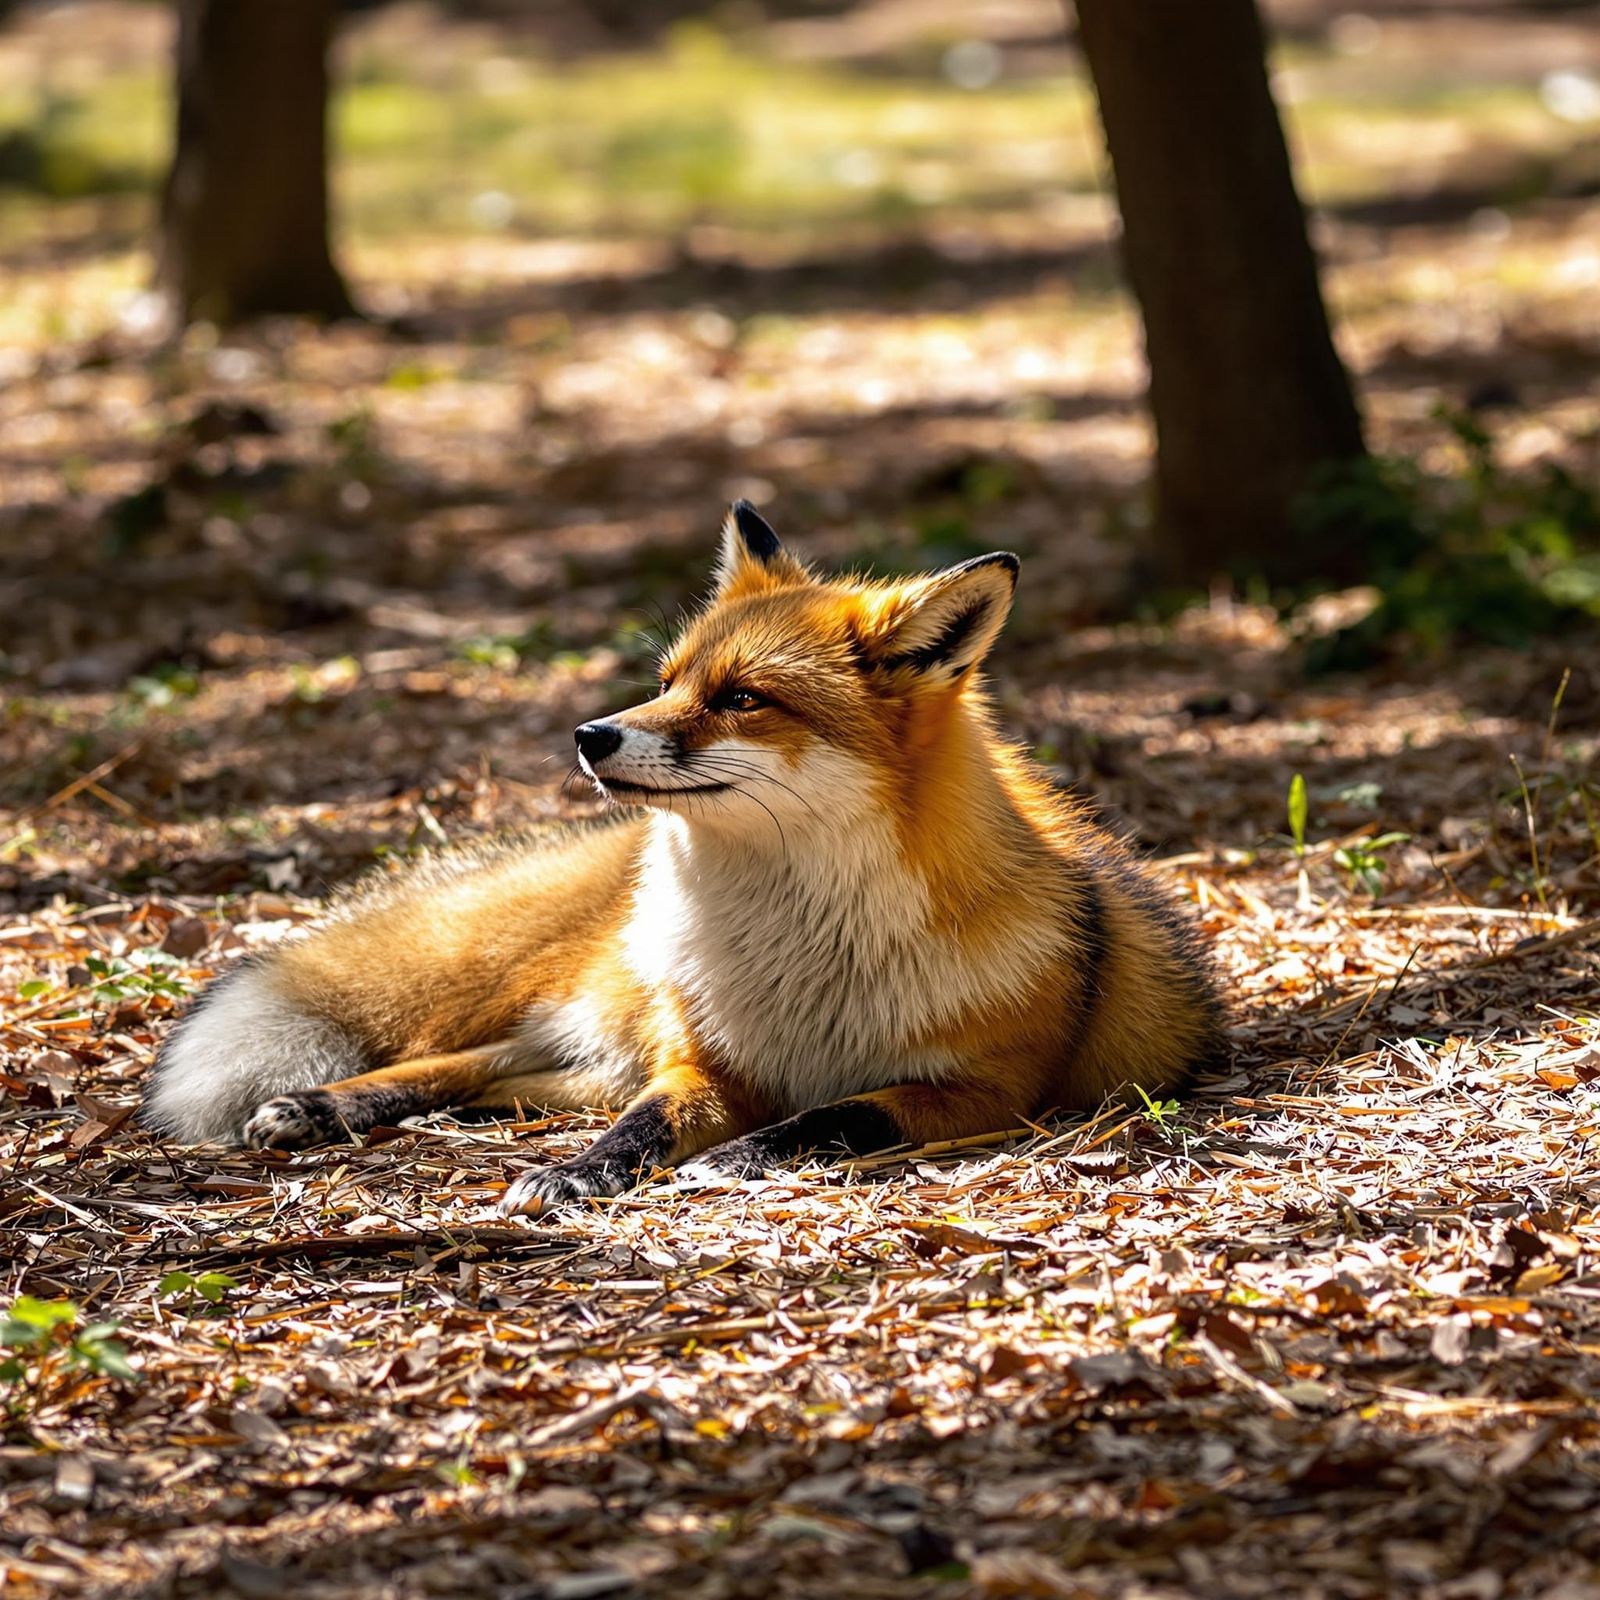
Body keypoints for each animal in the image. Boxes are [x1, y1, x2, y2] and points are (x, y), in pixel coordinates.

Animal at [141, 502, 1224, 1215]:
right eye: (666, 682)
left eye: (741, 698)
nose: (589, 735)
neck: (803, 954)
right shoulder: (700, 1060)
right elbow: (643, 1126)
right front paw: (580, 1171)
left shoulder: (983, 1093)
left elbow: (834, 1117)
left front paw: (739, 1159)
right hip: (602, 1006)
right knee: (463, 1061)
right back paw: (323, 1104)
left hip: (597, 1039)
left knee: (502, 1079)